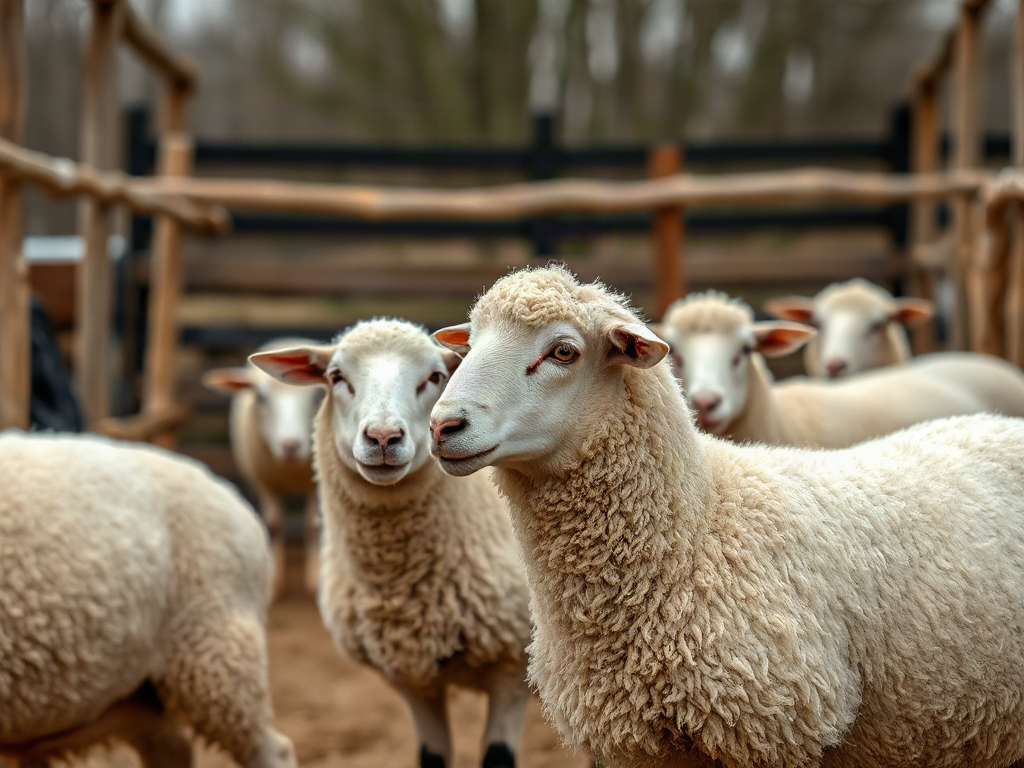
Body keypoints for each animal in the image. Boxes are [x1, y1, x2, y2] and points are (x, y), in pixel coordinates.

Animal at [204, 337, 323, 598]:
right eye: (260, 398)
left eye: (317, 397)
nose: (290, 445)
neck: (290, 469)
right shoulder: (265, 482)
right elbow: (275, 525)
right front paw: (274, 582)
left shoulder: (316, 484)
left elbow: (312, 527)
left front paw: (314, 579)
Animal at [249, 319, 533, 768]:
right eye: (336, 377)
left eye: (435, 377)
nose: (383, 437)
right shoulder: (413, 680)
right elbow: (431, 757)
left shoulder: (513, 669)